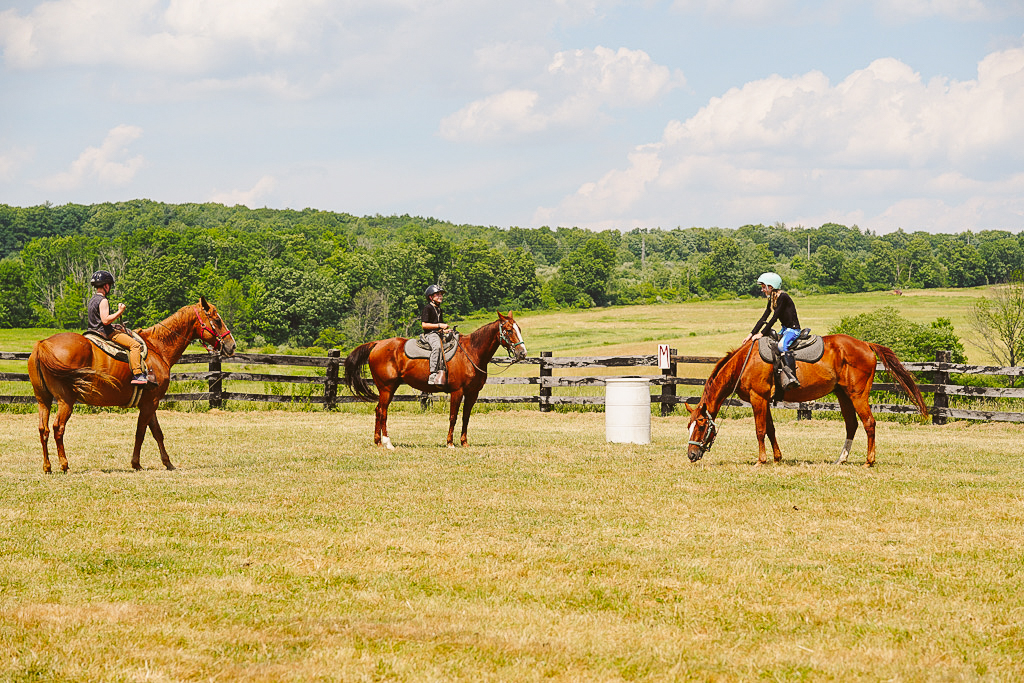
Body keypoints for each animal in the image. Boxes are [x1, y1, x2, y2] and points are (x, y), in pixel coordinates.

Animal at [28, 296, 237, 473]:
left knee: (43, 429)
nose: (232, 345)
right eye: (217, 320)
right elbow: (141, 433)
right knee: (58, 428)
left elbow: (157, 433)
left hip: (43, 400)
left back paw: (47, 466)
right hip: (66, 401)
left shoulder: (150, 402)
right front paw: (136, 463)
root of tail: (42, 344)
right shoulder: (150, 403)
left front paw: (168, 463)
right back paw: (64, 465)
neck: (157, 348)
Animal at [348, 311, 532, 448]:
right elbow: (453, 416)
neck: (471, 352)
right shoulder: (457, 391)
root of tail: (377, 344)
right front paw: (450, 443)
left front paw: (464, 442)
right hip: (387, 388)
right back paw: (388, 443)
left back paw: (378, 442)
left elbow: (466, 417)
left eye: (519, 329)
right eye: (509, 330)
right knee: (383, 411)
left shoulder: (472, 393)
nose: (522, 353)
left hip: (388, 389)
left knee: (378, 410)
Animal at [688, 333, 929, 466]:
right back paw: (841, 459)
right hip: (843, 395)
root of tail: (866, 344)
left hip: (857, 395)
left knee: (869, 423)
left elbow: (759, 430)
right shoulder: (765, 401)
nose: (691, 454)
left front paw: (761, 460)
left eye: (701, 426)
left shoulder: (758, 399)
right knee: (851, 424)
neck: (745, 362)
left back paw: (869, 461)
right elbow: (770, 429)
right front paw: (777, 458)